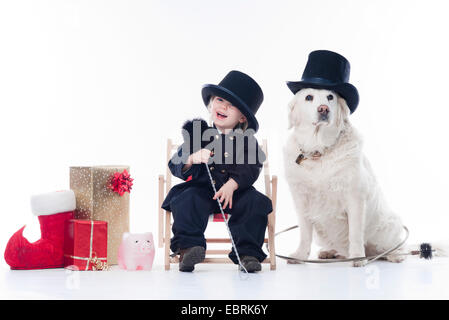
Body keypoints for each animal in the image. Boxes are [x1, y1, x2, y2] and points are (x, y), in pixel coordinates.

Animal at [284, 86, 406, 266]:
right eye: (308, 97)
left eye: (330, 97)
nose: (324, 109)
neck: (319, 151)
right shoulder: (301, 199)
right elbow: (305, 234)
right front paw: (299, 255)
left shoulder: (355, 197)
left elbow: (354, 233)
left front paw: (357, 257)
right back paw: (329, 252)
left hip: (389, 224)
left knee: (395, 246)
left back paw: (395, 255)